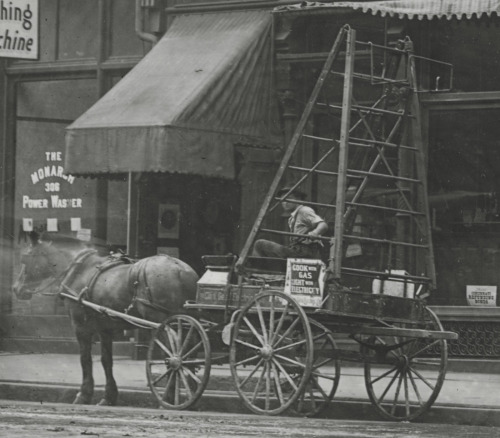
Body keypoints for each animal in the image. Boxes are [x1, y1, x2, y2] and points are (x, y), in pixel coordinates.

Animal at [13, 234, 197, 406]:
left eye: (25, 258)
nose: (16, 288)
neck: (79, 269)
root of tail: (182, 270)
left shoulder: (80, 326)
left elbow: (85, 359)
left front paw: (83, 395)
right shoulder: (105, 328)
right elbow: (106, 361)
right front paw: (108, 397)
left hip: (162, 324)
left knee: (173, 357)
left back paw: (168, 398)